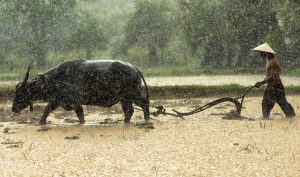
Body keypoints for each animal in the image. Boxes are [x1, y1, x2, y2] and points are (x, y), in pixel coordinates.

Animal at [12, 60, 150, 124]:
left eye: (21, 93)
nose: (13, 108)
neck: (56, 79)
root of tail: (133, 68)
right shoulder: (57, 101)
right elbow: (46, 110)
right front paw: (41, 123)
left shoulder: (76, 103)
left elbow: (81, 116)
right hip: (124, 98)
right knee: (129, 110)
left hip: (132, 94)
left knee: (144, 103)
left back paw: (147, 120)